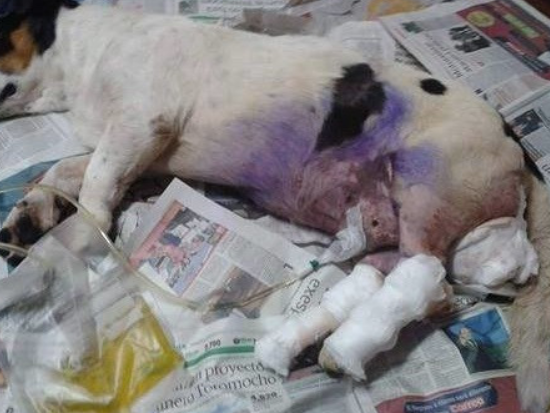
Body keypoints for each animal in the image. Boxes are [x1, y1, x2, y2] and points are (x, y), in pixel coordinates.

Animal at [0, 1, 549, 411]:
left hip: (425, 184)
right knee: (383, 273)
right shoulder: (141, 153)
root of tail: (517, 148)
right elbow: (61, 171)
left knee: (430, 287)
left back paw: (338, 350)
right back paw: (304, 342)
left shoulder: (141, 124)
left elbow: (94, 188)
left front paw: (80, 244)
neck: (84, 52)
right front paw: (30, 216)